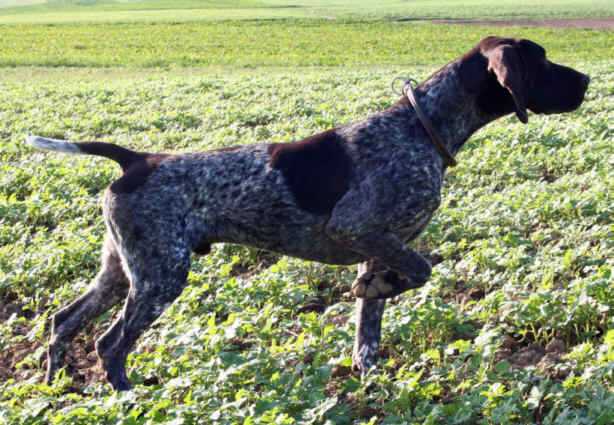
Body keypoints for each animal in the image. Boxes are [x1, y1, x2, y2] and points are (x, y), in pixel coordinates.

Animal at [25, 36, 592, 390]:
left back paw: (56, 388)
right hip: (160, 275)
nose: (587, 80)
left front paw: (371, 375)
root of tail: (136, 159)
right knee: (109, 344)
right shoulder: (361, 229)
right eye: (542, 62)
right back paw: (125, 394)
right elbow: (421, 270)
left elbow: (370, 328)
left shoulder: (377, 246)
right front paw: (373, 292)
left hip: (122, 270)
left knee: (63, 321)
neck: (421, 126)